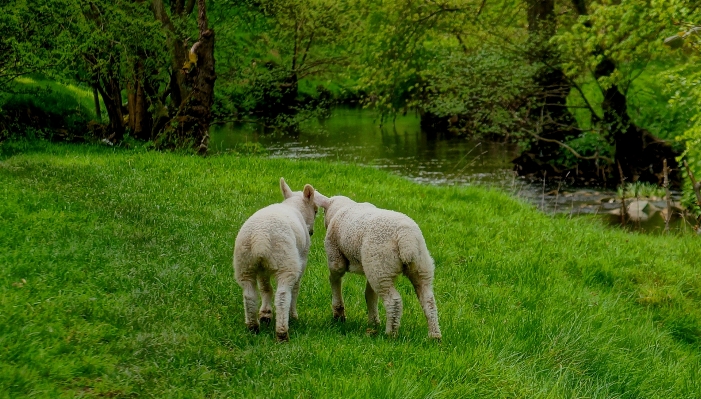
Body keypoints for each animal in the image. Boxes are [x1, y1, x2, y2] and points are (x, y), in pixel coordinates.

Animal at [232, 180, 318, 342]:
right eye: (316, 211)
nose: (311, 232)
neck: (293, 206)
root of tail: (260, 238)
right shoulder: (302, 259)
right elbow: (296, 288)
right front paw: (293, 315)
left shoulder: (262, 269)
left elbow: (265, 288)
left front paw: (266, 314)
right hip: (286, 262)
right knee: (283, 296)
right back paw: (282, 333)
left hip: (245, 263)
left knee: (249, 294)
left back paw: (253, 327)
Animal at [314, 194, 440, 340]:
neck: (341, 208)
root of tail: (406, 239)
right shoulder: (369, 266)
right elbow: (370, 294)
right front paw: (373, 322)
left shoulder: (335, 255)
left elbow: (334, 279)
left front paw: (338, 314)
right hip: (416, 265)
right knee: (428, 300)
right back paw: (435, 336)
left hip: (381, 264)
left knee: (393, 301)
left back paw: (390, 334)